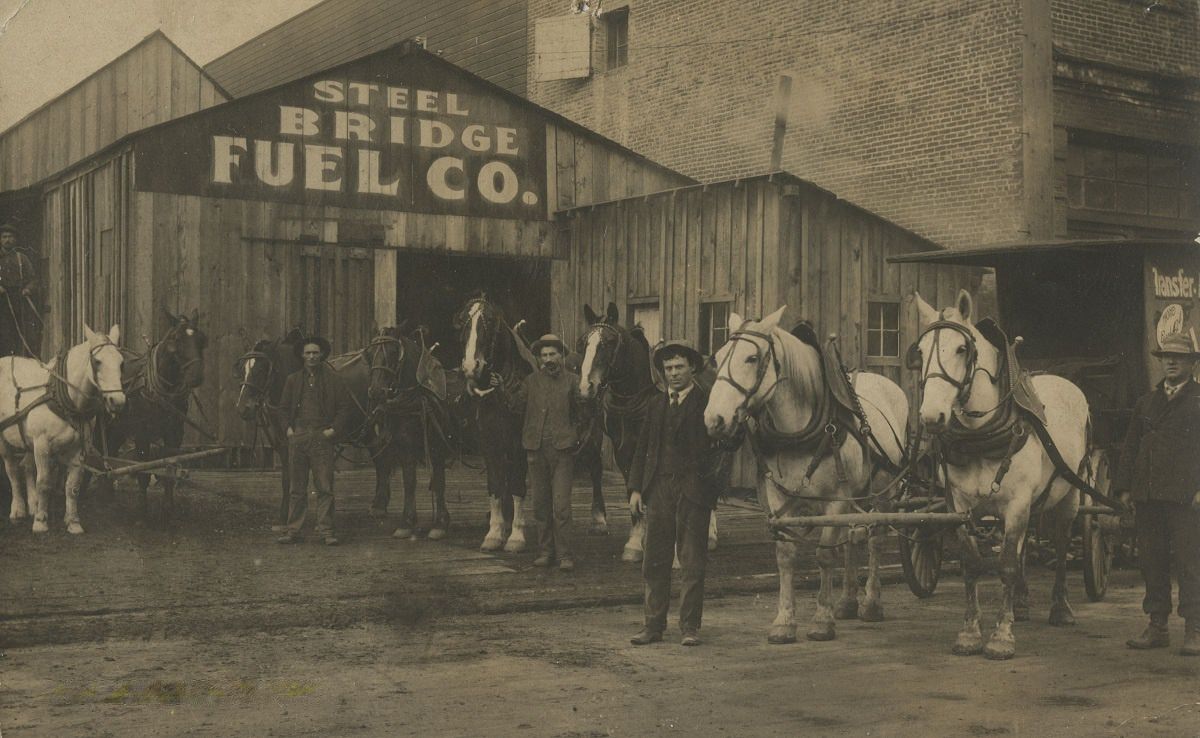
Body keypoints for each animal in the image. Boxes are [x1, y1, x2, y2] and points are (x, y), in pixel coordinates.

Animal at [2, 324, 126, 530]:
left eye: (121, 362)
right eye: (97, 361)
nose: (118, 401)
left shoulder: (79, 449)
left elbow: (72, 486)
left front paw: (73, 522)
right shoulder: (42, 445)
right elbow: (44, 483)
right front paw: (41, 522)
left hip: (27, 440)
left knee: (26, 466)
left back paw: (33, 504)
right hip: (5, 441)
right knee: (12, 469)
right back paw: (18, 509)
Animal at [700, 304, 907, 643]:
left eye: (751, 358)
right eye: (717, 356)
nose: (714, 419)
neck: (799, 430)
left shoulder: (835, 502)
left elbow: (825, 555)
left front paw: (822, 620)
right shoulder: (780, 501)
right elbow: (786, 554)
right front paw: (784, 621)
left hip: (885, 493)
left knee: (875, 540)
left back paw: (871, 603)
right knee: (851, 539)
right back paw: (847, 602)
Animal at [916, 291, 1089, 662]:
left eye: (961, 349)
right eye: (919, 351)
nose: (932, 416)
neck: (981, 434)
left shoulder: (1017, 503)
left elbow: (1006, 564)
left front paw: (1001, 637)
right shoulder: (958, 506)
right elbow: (972, 564)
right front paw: (969, 633)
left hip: (1069, 496)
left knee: (1061, 543)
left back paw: (1061, 608)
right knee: (1025, 546)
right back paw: (1021, 605)